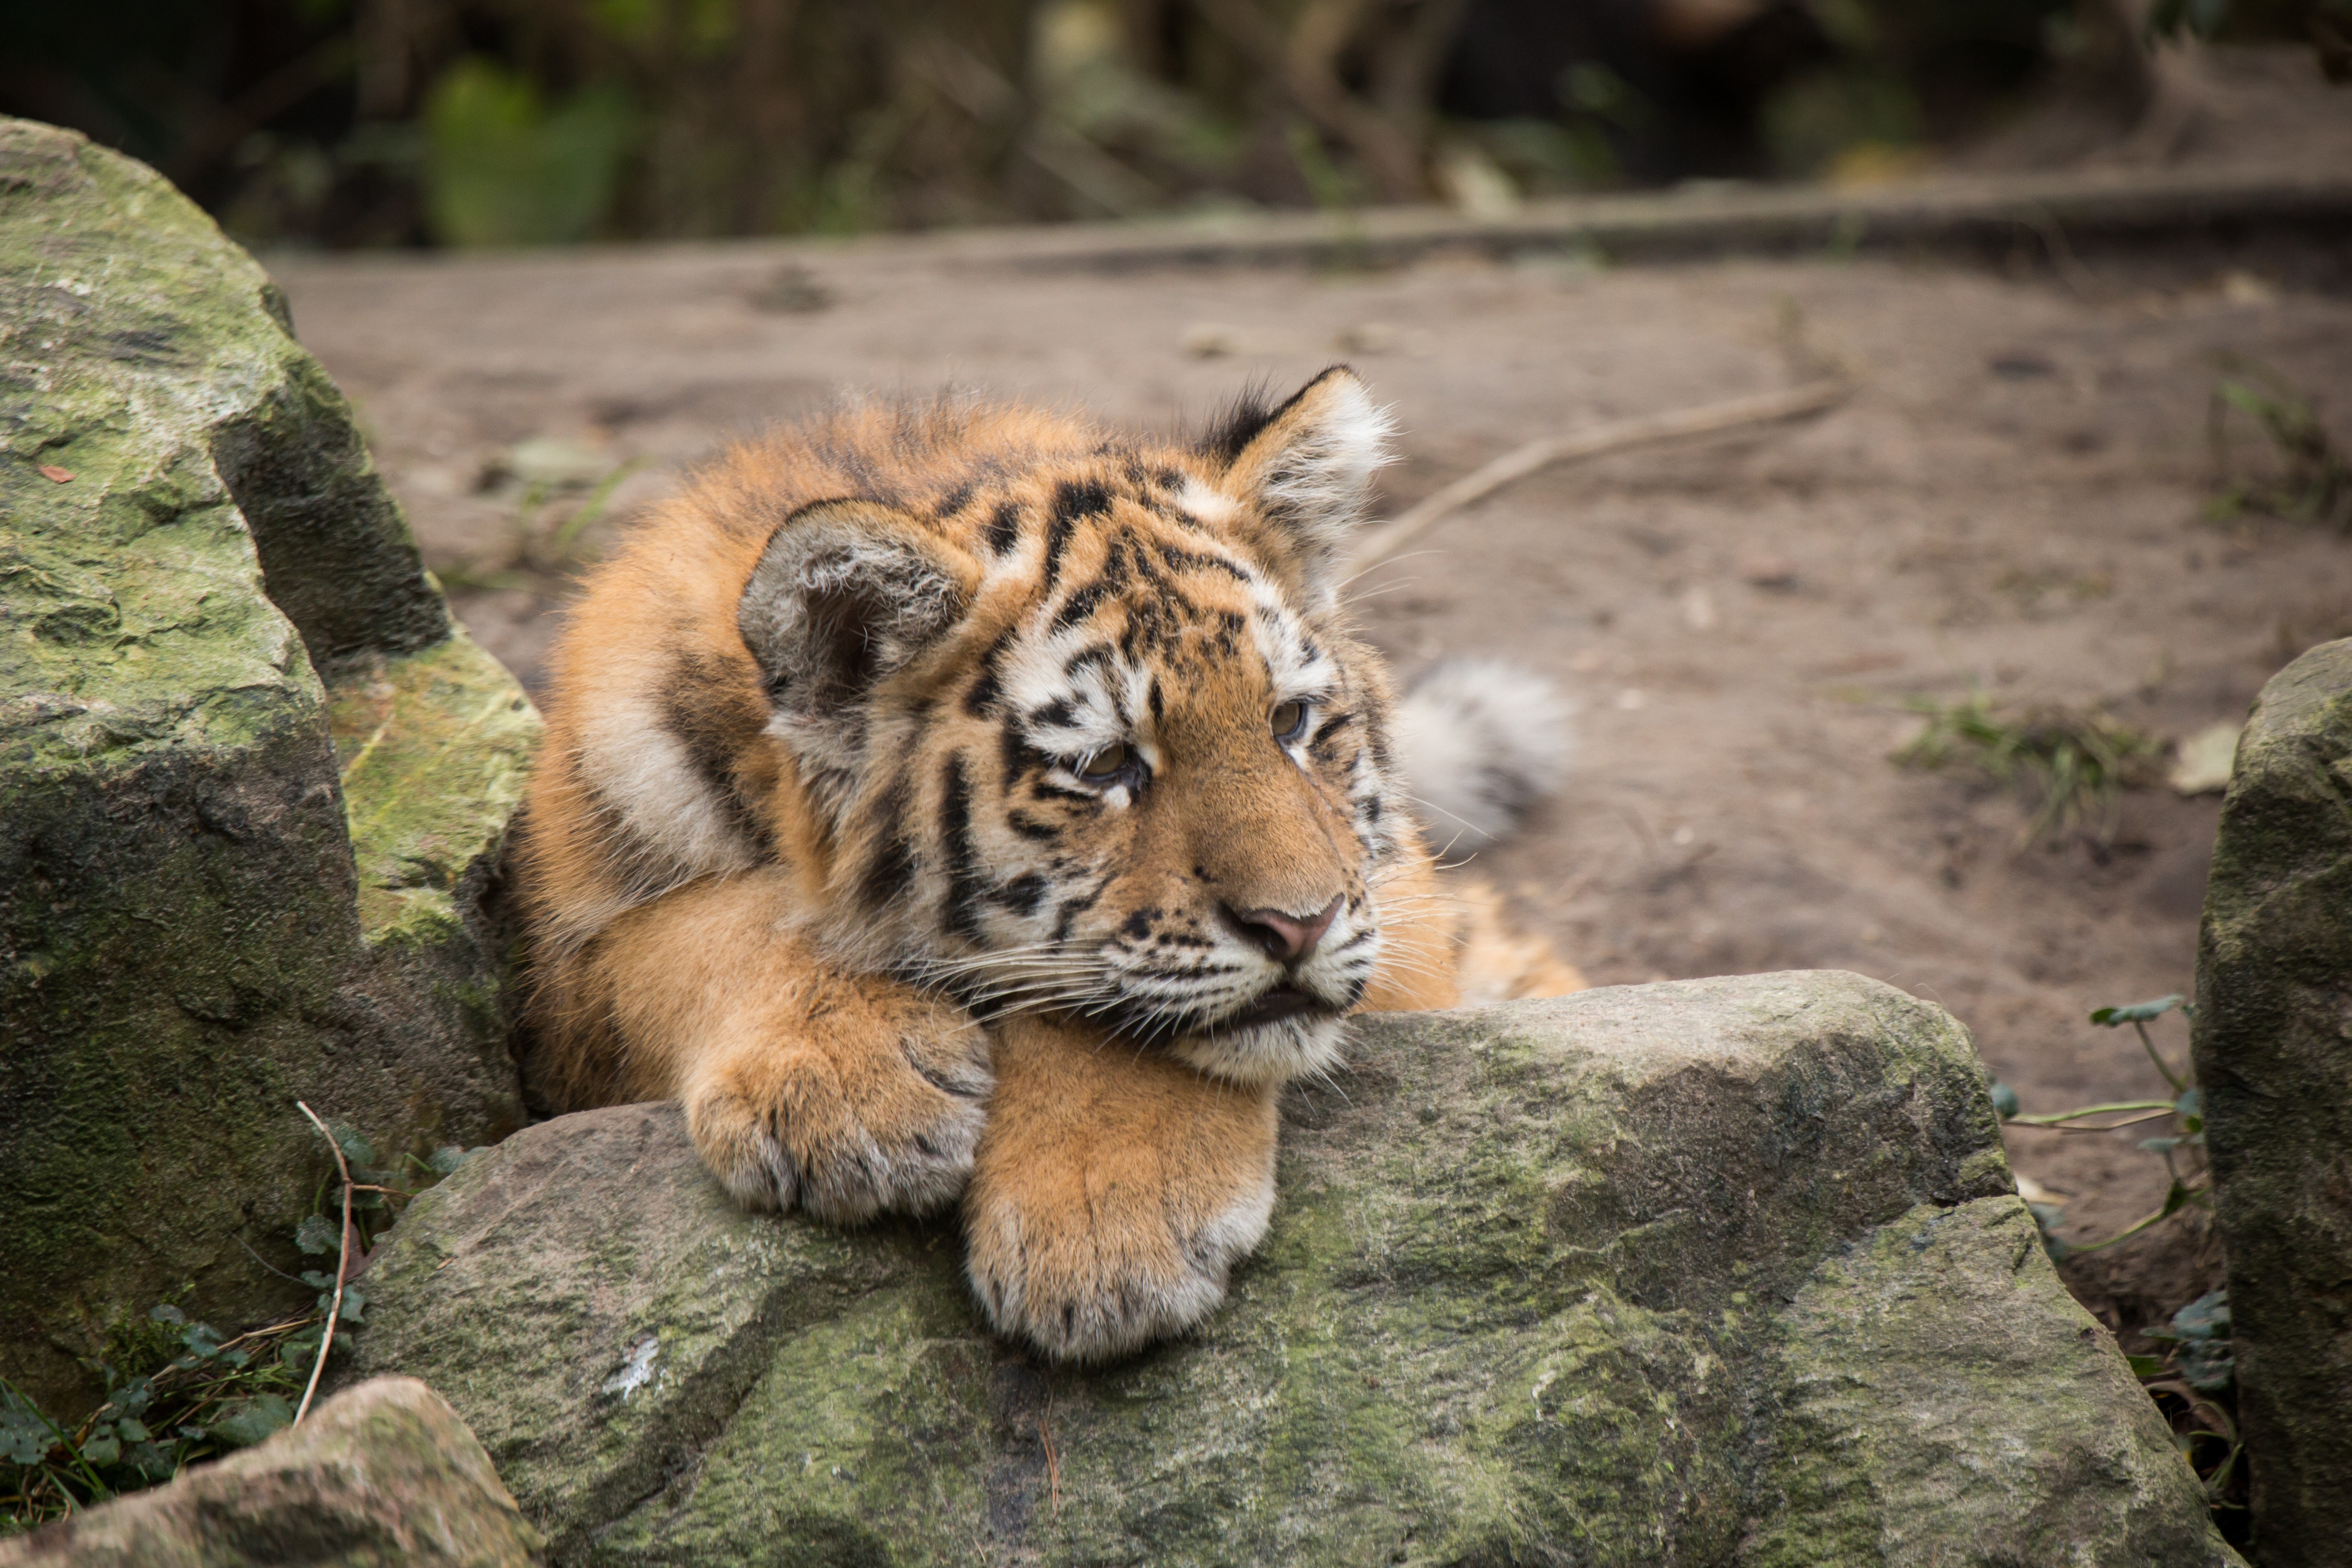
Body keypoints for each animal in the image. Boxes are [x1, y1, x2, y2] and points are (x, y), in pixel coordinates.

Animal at [513, 367, 1583, 1362]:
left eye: (1288, 722)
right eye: (1105, 766)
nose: (1299, 925)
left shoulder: (1392, 912)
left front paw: (1108, 1230)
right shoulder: (560, 984)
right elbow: (694, 931)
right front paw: (846, 1088)